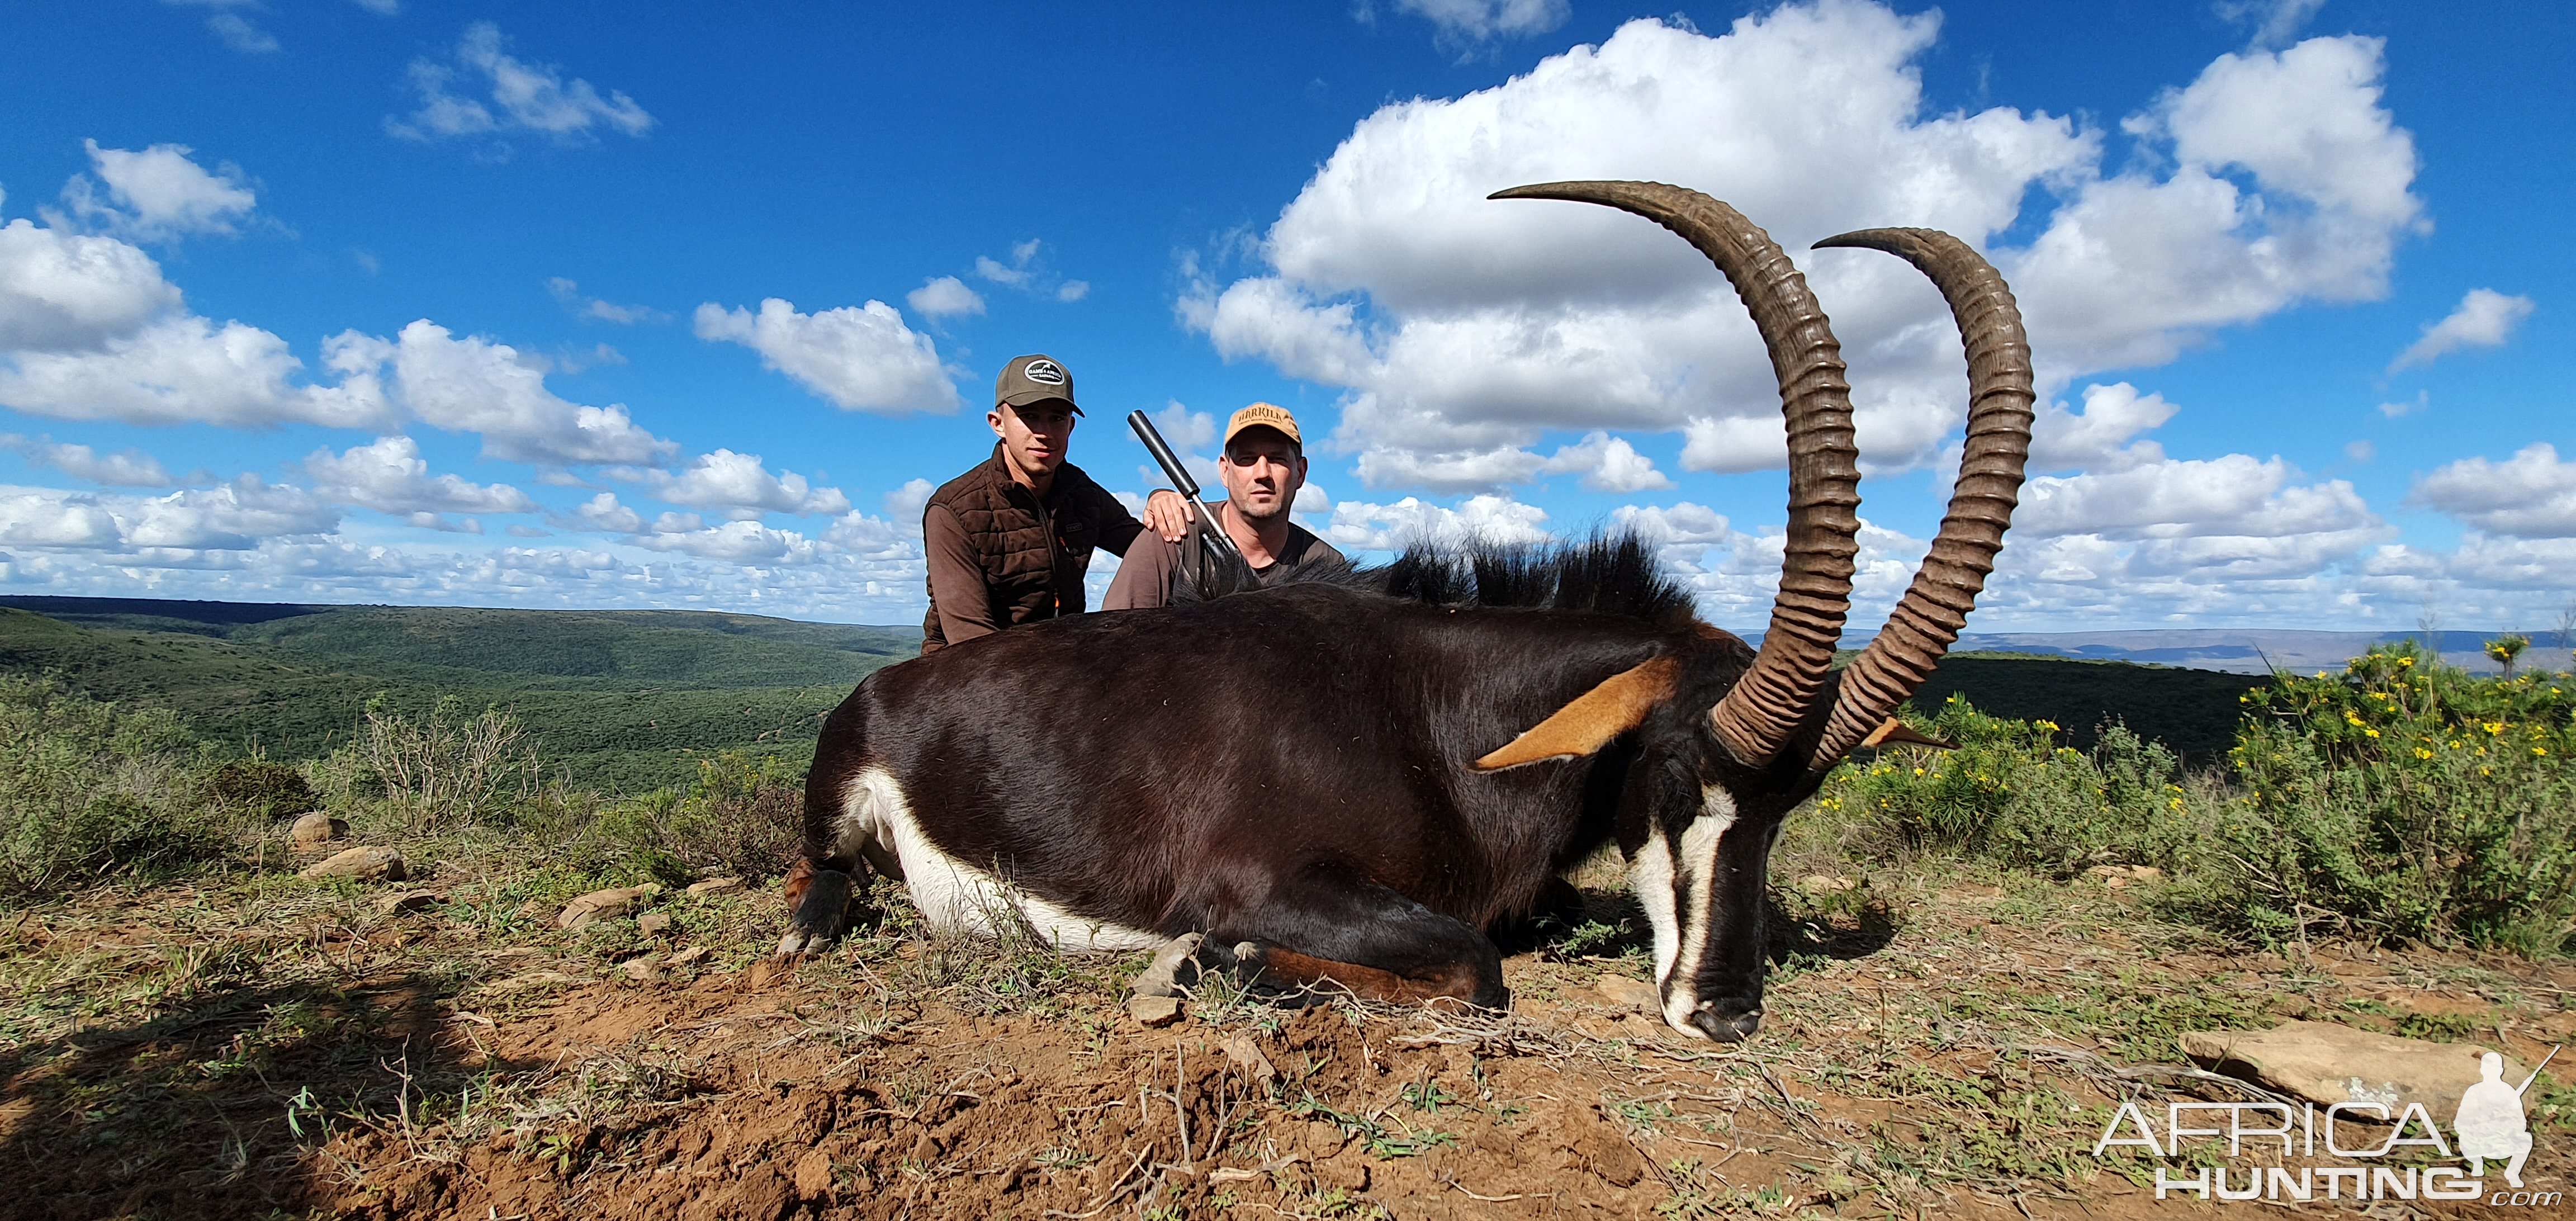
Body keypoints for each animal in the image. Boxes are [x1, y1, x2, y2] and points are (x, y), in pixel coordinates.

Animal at [783, 181, 2030, 1040]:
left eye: (1792, 804)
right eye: (1678, 771)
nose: (1721, 1012)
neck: (1435, 716)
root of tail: (887, 686)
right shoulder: (1260, 882)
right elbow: (1473, 964)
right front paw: (1215, 963)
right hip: (839, 801)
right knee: (825, 872)